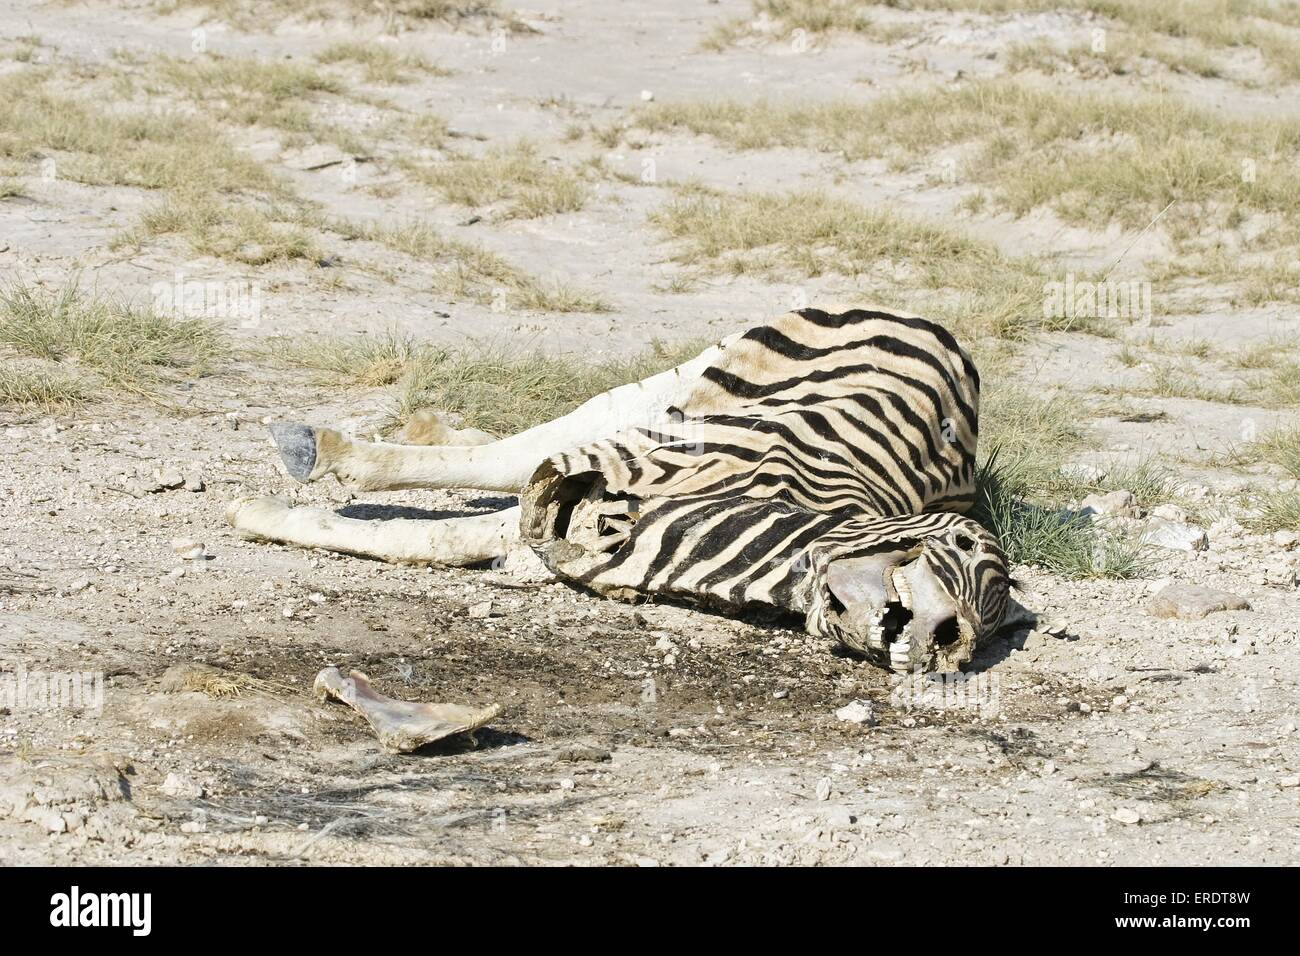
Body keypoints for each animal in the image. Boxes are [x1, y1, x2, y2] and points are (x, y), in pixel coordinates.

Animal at [228, 307, 1010, 681]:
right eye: (955, 549)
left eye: (972, 633)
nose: (940, 644)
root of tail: (949, 337)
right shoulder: (612, 467)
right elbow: (447, 525)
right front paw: (261, 512)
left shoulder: (552, 540)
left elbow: (446, 539)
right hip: (695, 388)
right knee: (527, 444)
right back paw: (319, 448)